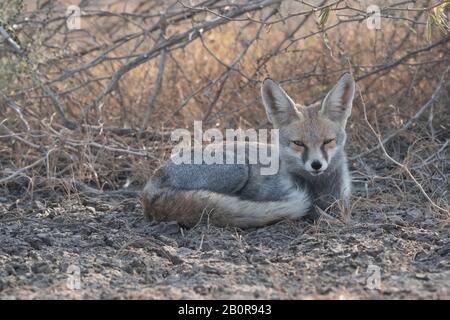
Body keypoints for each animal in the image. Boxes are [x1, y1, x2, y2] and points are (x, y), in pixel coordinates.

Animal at [142, 72, 356, 228]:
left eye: (328, 141)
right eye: (298, 143)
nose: (316, 165)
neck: (320, 187)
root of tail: (149, 188)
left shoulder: (342, 199)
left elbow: (342, 212)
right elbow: (320, 213)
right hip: (238, 168)